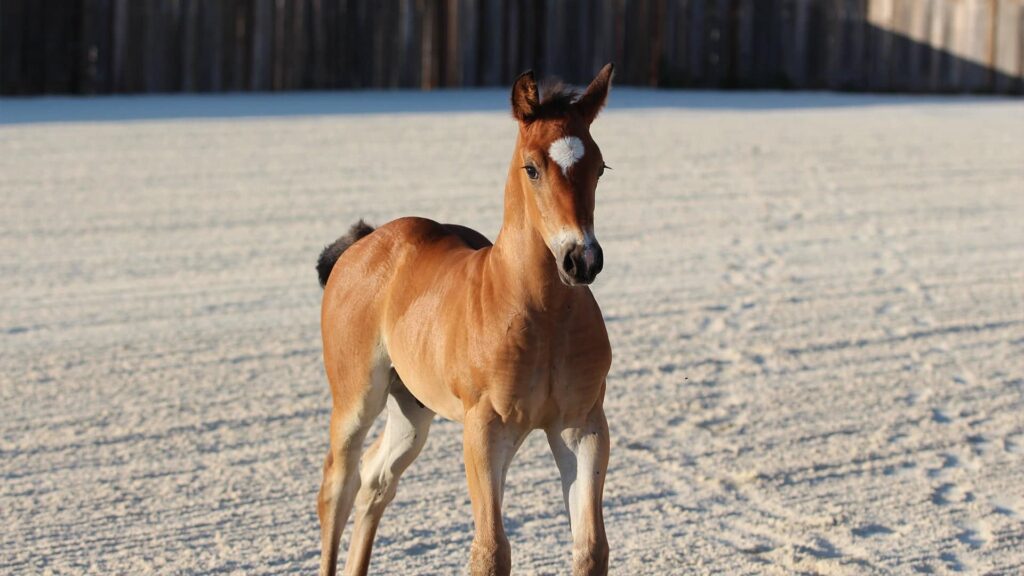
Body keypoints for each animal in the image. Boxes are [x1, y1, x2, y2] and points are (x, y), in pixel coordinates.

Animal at [316, 64, 615, 576]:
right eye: (532, 168)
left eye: (599, 167)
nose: (581, 260)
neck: (543, 316)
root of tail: (365, 242)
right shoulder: (485, 430)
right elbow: (491, 551)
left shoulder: (582, 427)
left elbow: (591, 548)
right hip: (356, 397)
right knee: (339, 484)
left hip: (412, 408)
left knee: (376, 480)